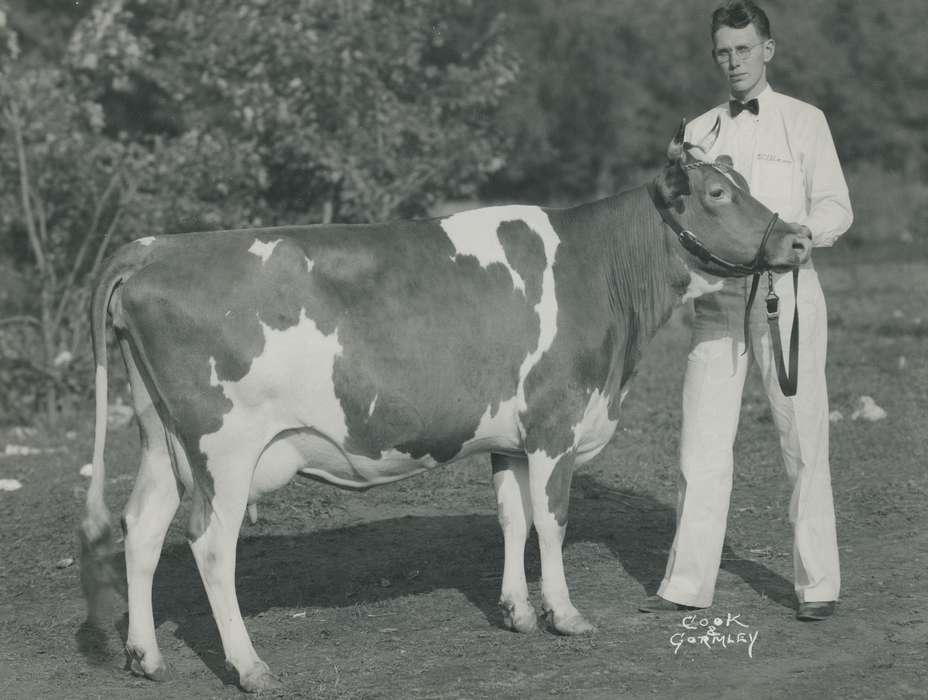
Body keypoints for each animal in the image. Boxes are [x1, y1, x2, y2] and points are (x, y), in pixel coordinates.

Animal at [79, 121, 810, 692]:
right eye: (718, 193)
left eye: (739, 181)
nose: (798, 237)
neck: (599, 272)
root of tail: (154, 247)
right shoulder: (555, 422)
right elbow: (552, 521)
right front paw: (565, 615)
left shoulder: (510, 438)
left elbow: (513, 518)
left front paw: (518, 612)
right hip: (224, 446)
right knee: (209, 542)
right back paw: (249, 665)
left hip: (158, 434)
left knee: (141, 527)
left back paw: (146, 657)